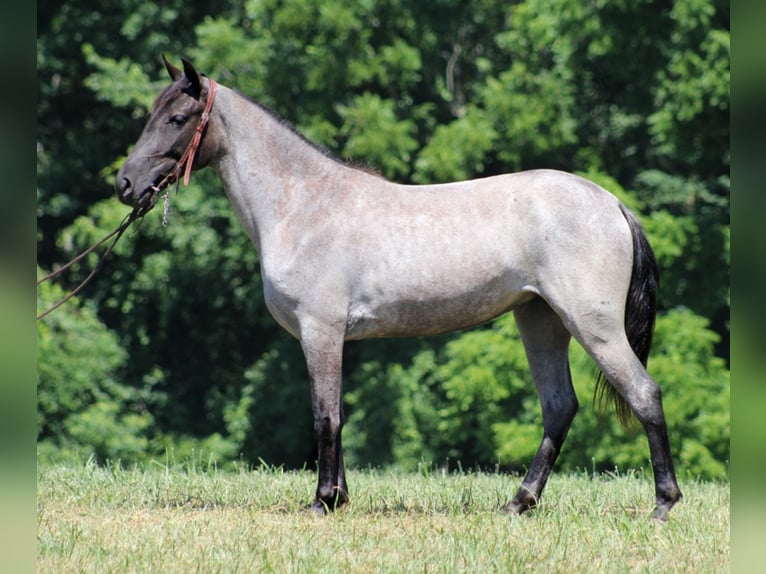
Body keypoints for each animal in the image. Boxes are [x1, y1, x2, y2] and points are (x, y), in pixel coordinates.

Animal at [115, 57, 684, 520]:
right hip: (539, 319)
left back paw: (663, 504)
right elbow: (336, 414)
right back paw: (519, 503)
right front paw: (339, 498)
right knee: (559, 407)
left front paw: (323, 502)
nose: (124, 184)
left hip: (592, 323)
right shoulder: (330, 338)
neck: (302, 203)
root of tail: (612, 204)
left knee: (644, 393)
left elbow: (325, 415)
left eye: (177, 119)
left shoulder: (320, 331)